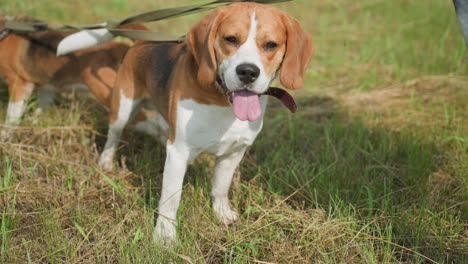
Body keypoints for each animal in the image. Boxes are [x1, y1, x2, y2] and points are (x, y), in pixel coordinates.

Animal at [0, 14, 151, 133]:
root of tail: (116, 49)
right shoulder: (47, 89)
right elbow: (41, 107)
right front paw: (34, 123)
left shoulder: (18, 85)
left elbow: (11, 118)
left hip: (116, 101)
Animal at [59, 3, 314, 244]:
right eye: (230, 39)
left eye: (271, 44)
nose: (248, 72)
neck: (222, 101)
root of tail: (144, 38)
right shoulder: (179, 152)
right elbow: (171, 198)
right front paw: (165, 236)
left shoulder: (233, 152)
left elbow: (220, 187)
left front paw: (221, 214)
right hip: (123, 106)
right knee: (114, 136)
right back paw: (106, 163)